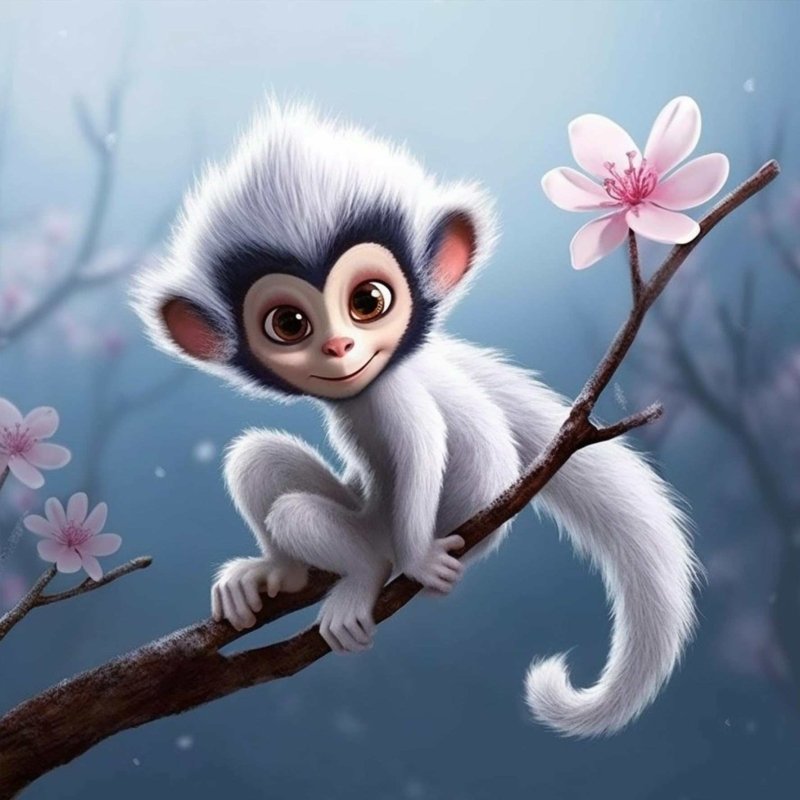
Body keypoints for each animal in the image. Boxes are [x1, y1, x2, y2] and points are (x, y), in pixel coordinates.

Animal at [133, 101, 701, 738]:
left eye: (369, 301)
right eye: (288, 323)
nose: (337, 347)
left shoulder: (396, 397)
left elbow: (421, 449)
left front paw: (418, 562)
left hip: (383, 530)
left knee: (308, 518)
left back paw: (362, 580)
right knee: (260, 463)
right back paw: (281, 573)